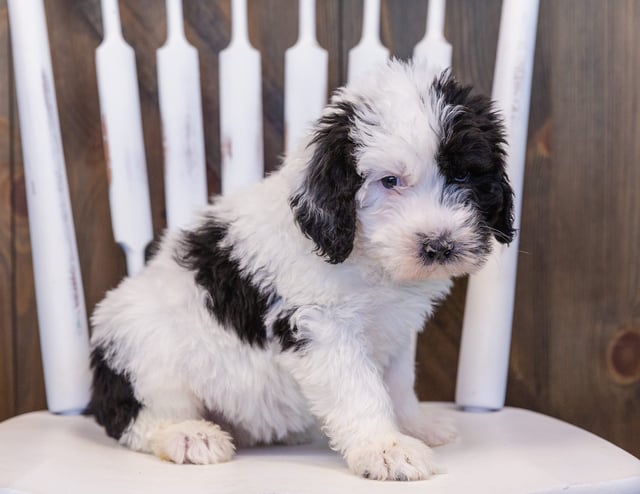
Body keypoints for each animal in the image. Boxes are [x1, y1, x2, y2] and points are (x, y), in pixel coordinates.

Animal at [86, 59, 516, 480]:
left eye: (462, 175)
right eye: (390, 181)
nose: (440, 246)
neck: (364, 255)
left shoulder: (394, 329)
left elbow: (397, 383)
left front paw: (413, 425)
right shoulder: (320, 325)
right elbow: (358, 389)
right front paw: (385, 448)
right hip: (142, 348)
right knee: (136, 417)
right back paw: (188, 435)